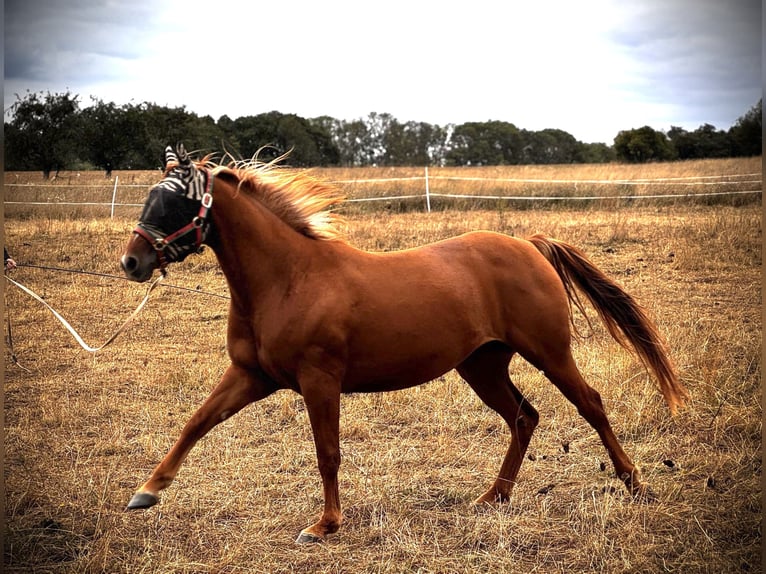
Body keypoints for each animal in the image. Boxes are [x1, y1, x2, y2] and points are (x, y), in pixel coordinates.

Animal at [120, 144, 688, 543]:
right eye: (151, 196)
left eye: (175, 202)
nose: (133, 261)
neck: (289, 278)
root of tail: (529, 245)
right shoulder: (251, 375)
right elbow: (197, 422)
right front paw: (147, 492)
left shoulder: (319, 380)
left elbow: (328, 452)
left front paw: (325, 525)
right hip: (481, 366)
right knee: (524, 417)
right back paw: (493, 497)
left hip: (549, 353)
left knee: (589, 404)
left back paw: (634, 483)